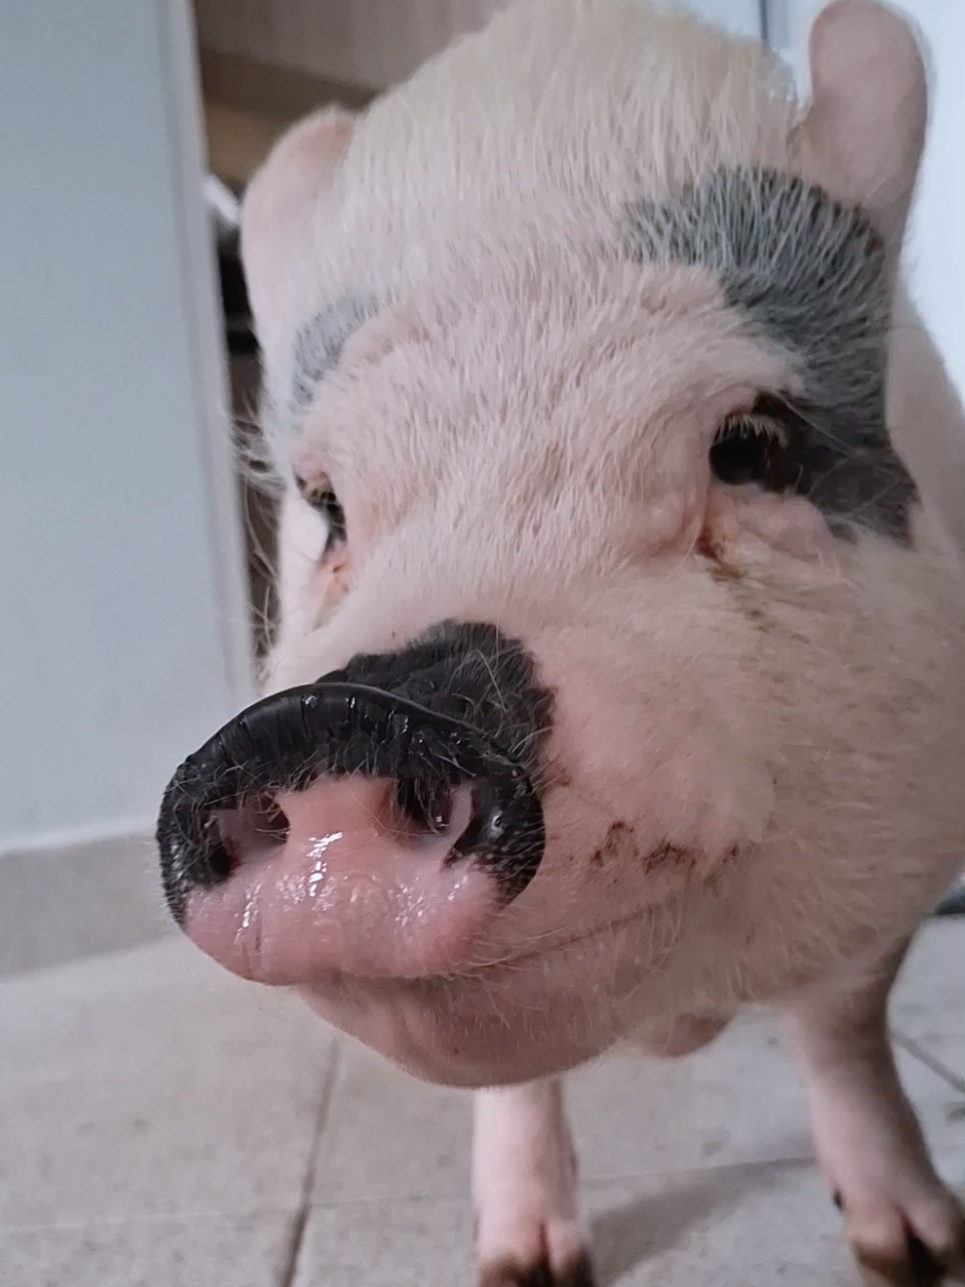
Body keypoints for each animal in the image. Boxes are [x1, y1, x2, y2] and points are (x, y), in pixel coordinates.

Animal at [157, 1, 965, 1283]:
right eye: (326, 503)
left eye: (750, 446)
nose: (333, 716)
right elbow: (515, 1083)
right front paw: (526, 1270)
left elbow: (840, 1024)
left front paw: (916, 1251)